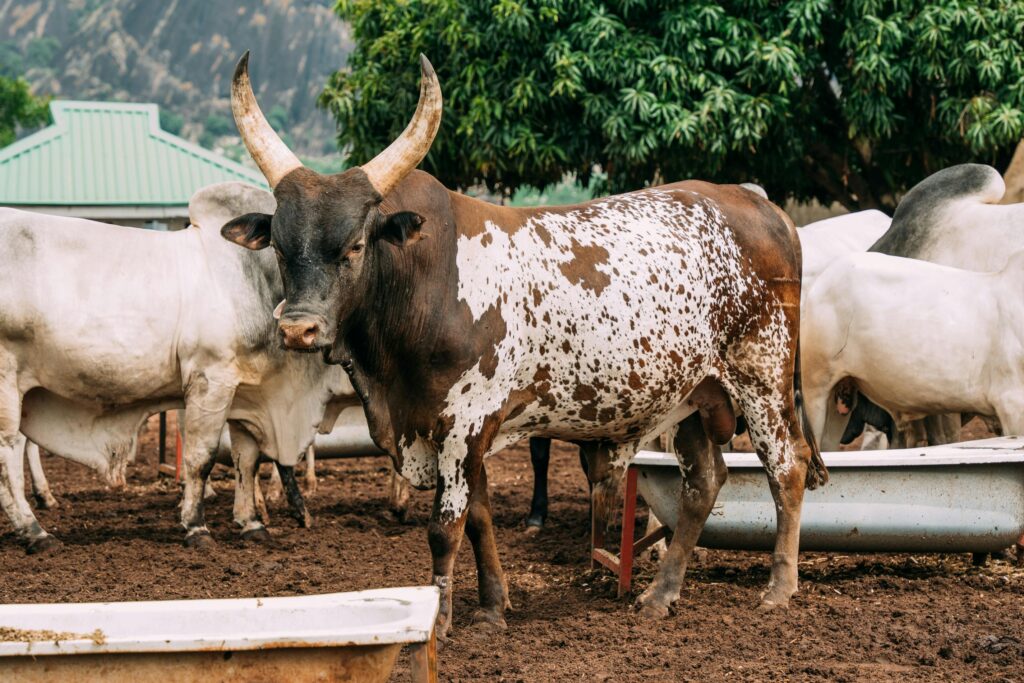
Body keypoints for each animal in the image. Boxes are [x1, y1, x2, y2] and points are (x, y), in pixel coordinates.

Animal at [0, 183, 352, 557]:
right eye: (283, 245)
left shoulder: (249, 392)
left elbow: (248, 459)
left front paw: (252, 524)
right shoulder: (210, 380)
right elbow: (201, 457)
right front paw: (196, 527)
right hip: (7, 382)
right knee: (8, 453)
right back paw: (35, 532)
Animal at [224, 53, 823, 634]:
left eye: (354, 246)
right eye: (279, 247)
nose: (298, 328)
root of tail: (758, 204)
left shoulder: (463, 424)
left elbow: (445, 526)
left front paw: (442, 619)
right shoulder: (462, 430)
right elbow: (479, 518)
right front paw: (493, 607)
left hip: (761, 376)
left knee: (786, 466)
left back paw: (779, 588)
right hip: (693, 395)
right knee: (704, 482)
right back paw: (661, 595)